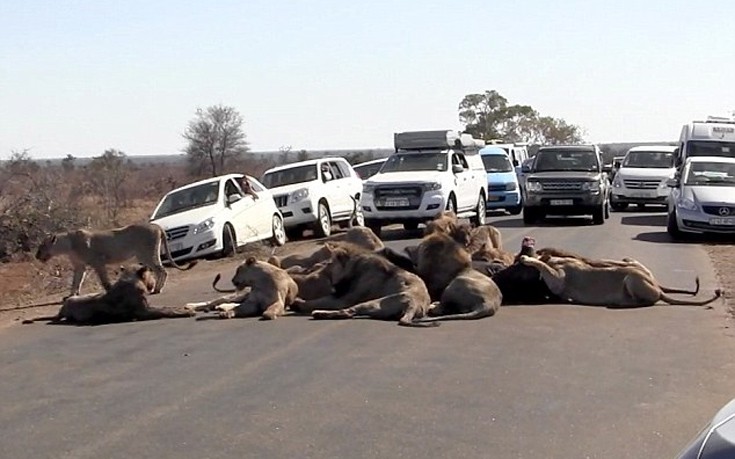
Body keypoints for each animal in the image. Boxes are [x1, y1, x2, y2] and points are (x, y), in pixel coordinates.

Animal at [21, 264, 196, 326]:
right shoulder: (144, 311)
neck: (131, 279)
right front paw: (186, 311)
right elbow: (166, 309)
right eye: (150, 274)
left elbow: (166, 307)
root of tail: (63, 307)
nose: (152, 283)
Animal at [34, 223, 198, 298]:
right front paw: (71, 295)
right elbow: (76, 281)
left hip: (146, 254)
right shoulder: (80, 266)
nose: (36, 256)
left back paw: (157, 289)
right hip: (146, 255)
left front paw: (110, 291)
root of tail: (156, 225)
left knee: (162, 270)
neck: (67, 246)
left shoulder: (98, 262)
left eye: (41, 246)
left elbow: (104, 280)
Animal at [292, 244, 436, 328]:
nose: (315, 272)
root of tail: (414, 305)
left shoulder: (343, 299)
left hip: (375, 302)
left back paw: (318, 313)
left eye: (329, 264)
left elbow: (317, 301)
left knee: (347, 312)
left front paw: (298, 303)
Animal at [516, 255, 724, 310]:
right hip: (630, 263)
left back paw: (619, 303)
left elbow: (542, 265)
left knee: (646, 302)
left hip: (631, 277)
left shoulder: (558, 279)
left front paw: (527, 258)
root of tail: (658, 288)